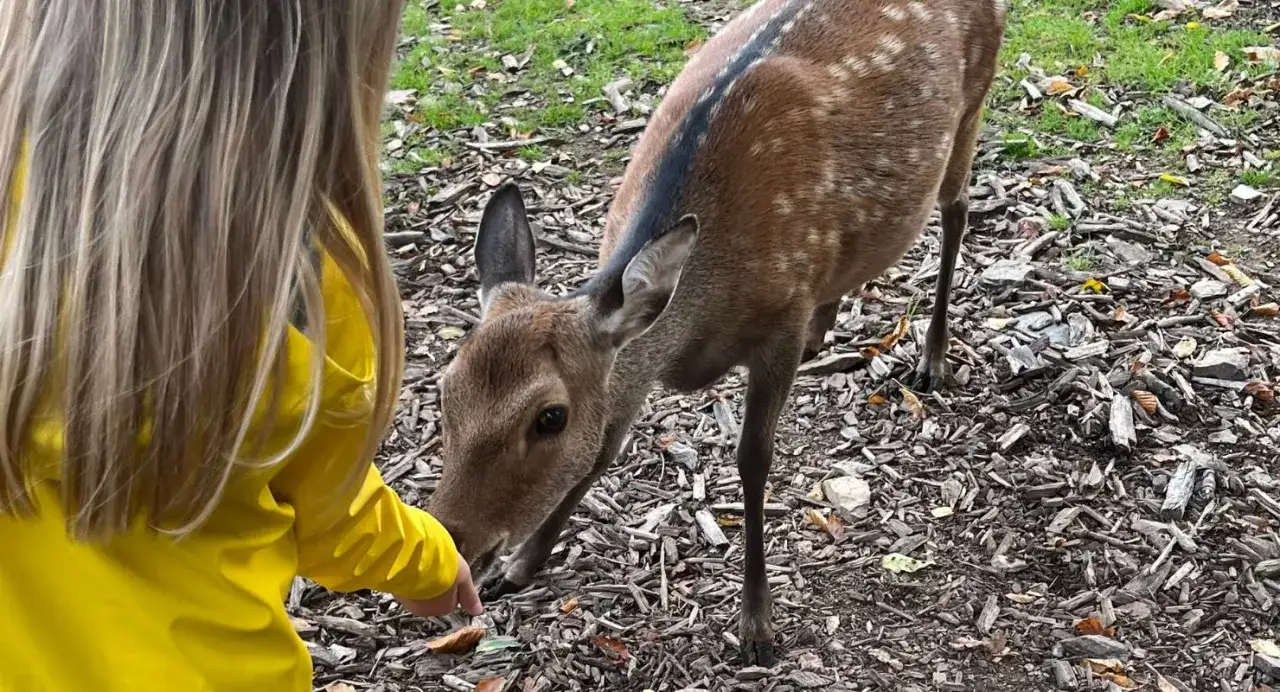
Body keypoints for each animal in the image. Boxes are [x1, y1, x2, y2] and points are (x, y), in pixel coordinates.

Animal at [427, 0, 1007, 666]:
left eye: (550, 417)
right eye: (443, 392)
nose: (453, 548)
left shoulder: (780, 319)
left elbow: (753, 459)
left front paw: (757, 625)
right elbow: (604, 450)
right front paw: (521, 566)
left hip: (973, 106)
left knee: (957, 210)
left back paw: (933, 357)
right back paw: (829, 324)